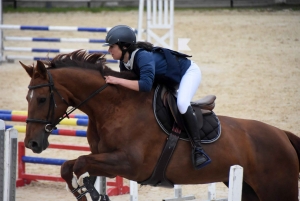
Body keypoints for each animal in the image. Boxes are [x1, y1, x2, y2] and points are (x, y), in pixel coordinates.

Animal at [21, 50, 300, 201]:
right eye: (27, 98)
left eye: (42, 99)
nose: (32, 143)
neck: (112, 107)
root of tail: (283, 135)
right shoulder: (107, 160)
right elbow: (69, 166)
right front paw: (83, 190)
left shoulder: (130, 164)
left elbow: (79, 163)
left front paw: (86, 188)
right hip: (248, 189)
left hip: (278, 189)